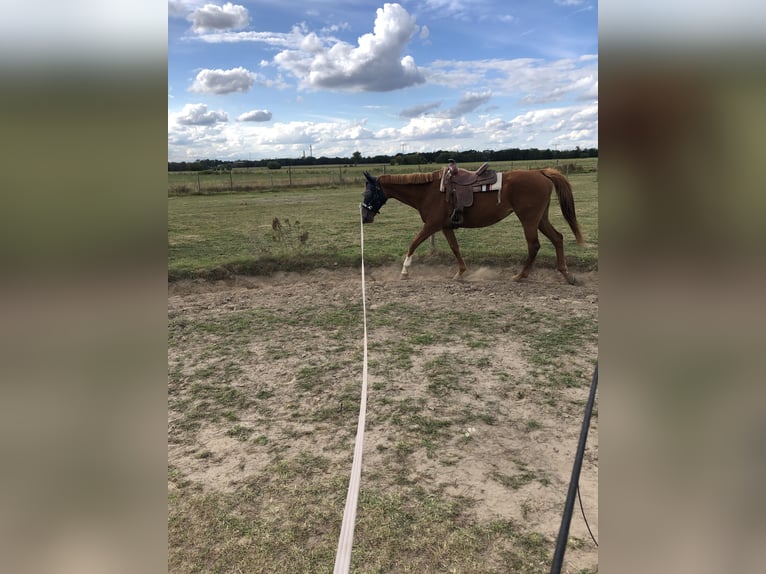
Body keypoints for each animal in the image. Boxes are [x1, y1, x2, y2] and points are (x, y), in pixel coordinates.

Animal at [364, 166, 584, 284]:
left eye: (369, 192)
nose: (365, 217)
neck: (429, 191)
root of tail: (540, 172)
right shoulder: (445, 226)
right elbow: (455, 248)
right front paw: (460, 272)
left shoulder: (431, 225)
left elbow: (413, 243)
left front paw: (404, 271)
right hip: (540, 219)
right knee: (557, 238)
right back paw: (565, 274)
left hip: (529, 220)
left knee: (534, 245)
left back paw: (521, 275)